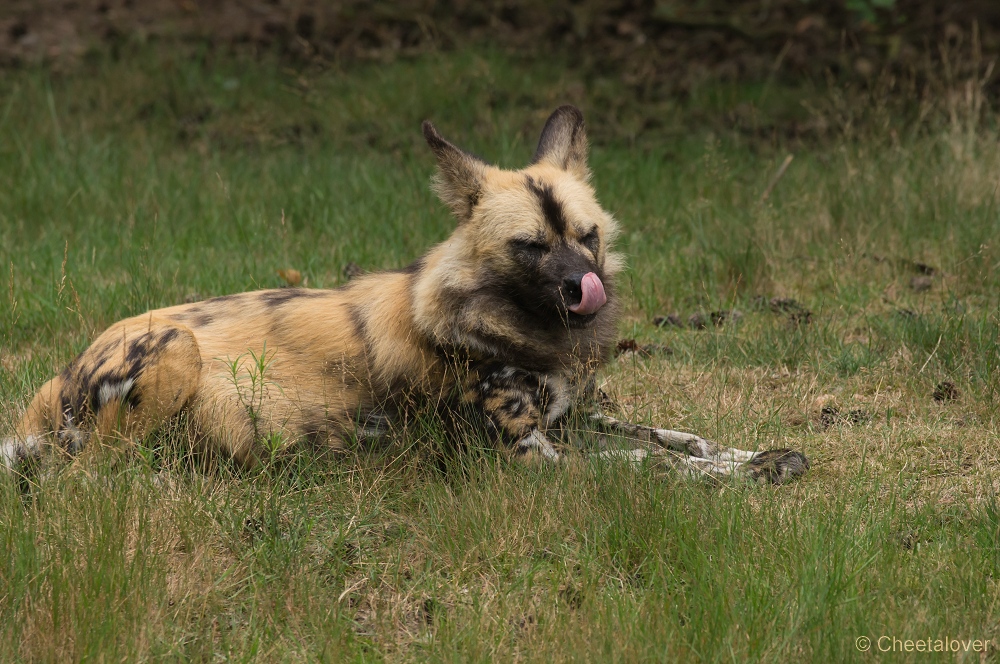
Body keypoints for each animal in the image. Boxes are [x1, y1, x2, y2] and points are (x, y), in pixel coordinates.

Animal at [0, 106, 808, 486]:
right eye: (530, 247)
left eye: (589, 237)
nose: (586, 292)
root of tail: (49, 387)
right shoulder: (531, 456)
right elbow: (652, 468)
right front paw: (739, 477)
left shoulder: (569, 421)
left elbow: (672, 437)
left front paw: (753, 454)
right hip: (175, 351)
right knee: (90, 476)